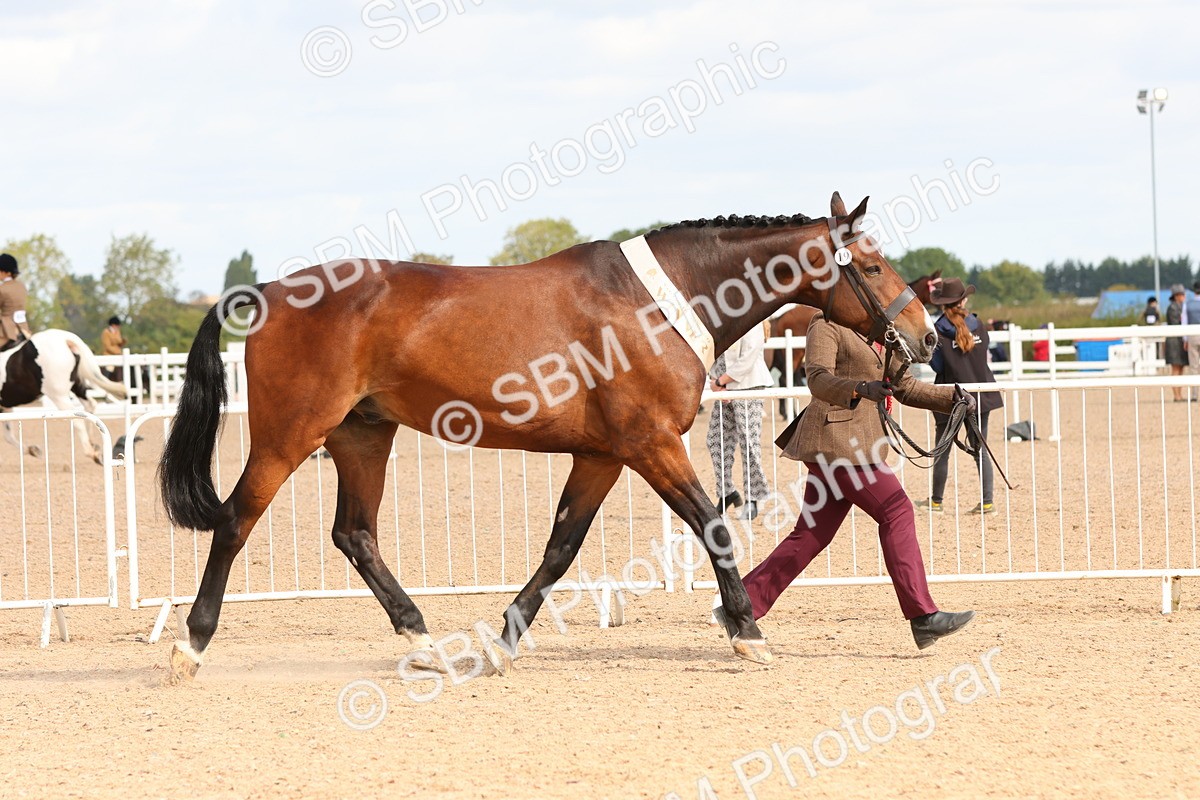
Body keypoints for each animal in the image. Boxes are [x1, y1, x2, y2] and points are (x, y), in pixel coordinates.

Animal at [0, 329, 128, 463]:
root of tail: (65, 339)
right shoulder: (6, 407)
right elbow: (8, 435)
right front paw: (32, 450)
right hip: (77, 384)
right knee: (90, 405)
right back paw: (93, 443)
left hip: (59, 395)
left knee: (77, 418)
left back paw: (91, 452)